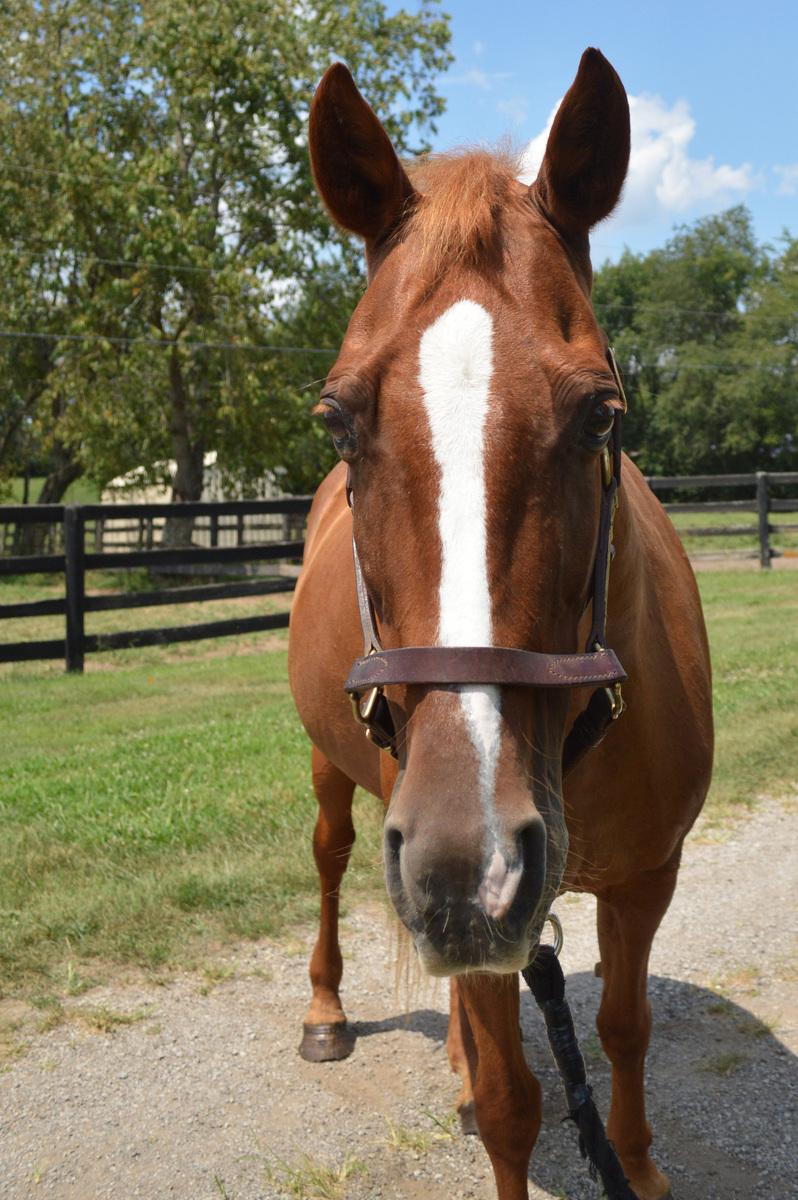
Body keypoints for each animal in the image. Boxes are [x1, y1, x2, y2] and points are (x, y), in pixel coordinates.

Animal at [288, 48, 713, 1200]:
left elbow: (621, 1029)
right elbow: (522, 1105)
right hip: (338, 776)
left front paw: (640, 1167)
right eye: (337, 419)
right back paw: (328, 1013)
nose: (462, 863)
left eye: (602, 412)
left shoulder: (648, 879)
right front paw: (496, 1101)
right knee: (330, 858)